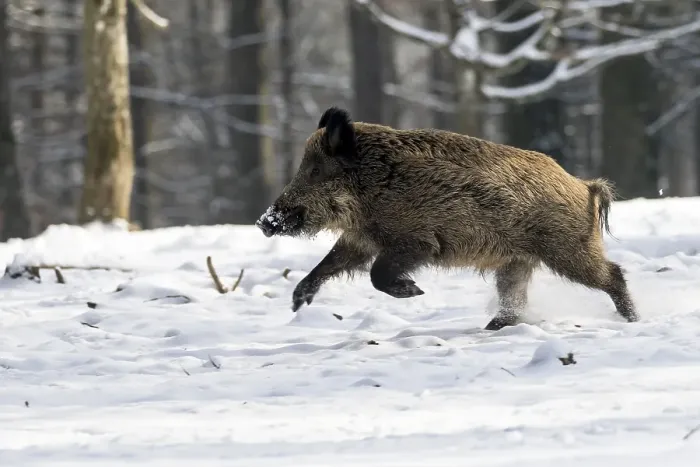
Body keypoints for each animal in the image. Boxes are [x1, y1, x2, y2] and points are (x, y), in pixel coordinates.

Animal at [255, 106, 638, 330]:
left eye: (315, 169)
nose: (264, 222)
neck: (371, 187)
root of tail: (585, 186)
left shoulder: (416, 241)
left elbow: (378, 275)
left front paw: (415, 291)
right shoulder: (360, 241)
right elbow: (328, 264)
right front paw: (298, 303)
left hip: (567, 248)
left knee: (613, 275)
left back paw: (632, 319)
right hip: (517, 261)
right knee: (513, 298)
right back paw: (492, 327)